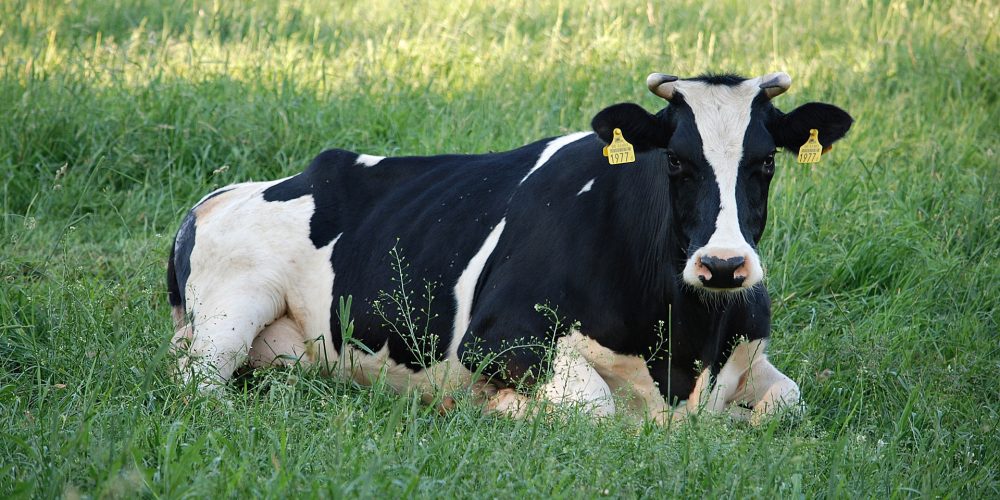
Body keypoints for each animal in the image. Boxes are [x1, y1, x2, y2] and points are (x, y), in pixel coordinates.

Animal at [167, 71, 853, 424]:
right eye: (678, 162)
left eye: (766, 163)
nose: (723, 265)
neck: (685, 351)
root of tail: (221, 196)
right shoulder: (497, 340)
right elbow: (595, 406)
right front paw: (504, 410)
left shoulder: (750, 351)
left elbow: (787, 402)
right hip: (234, 306)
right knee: (197, 382)